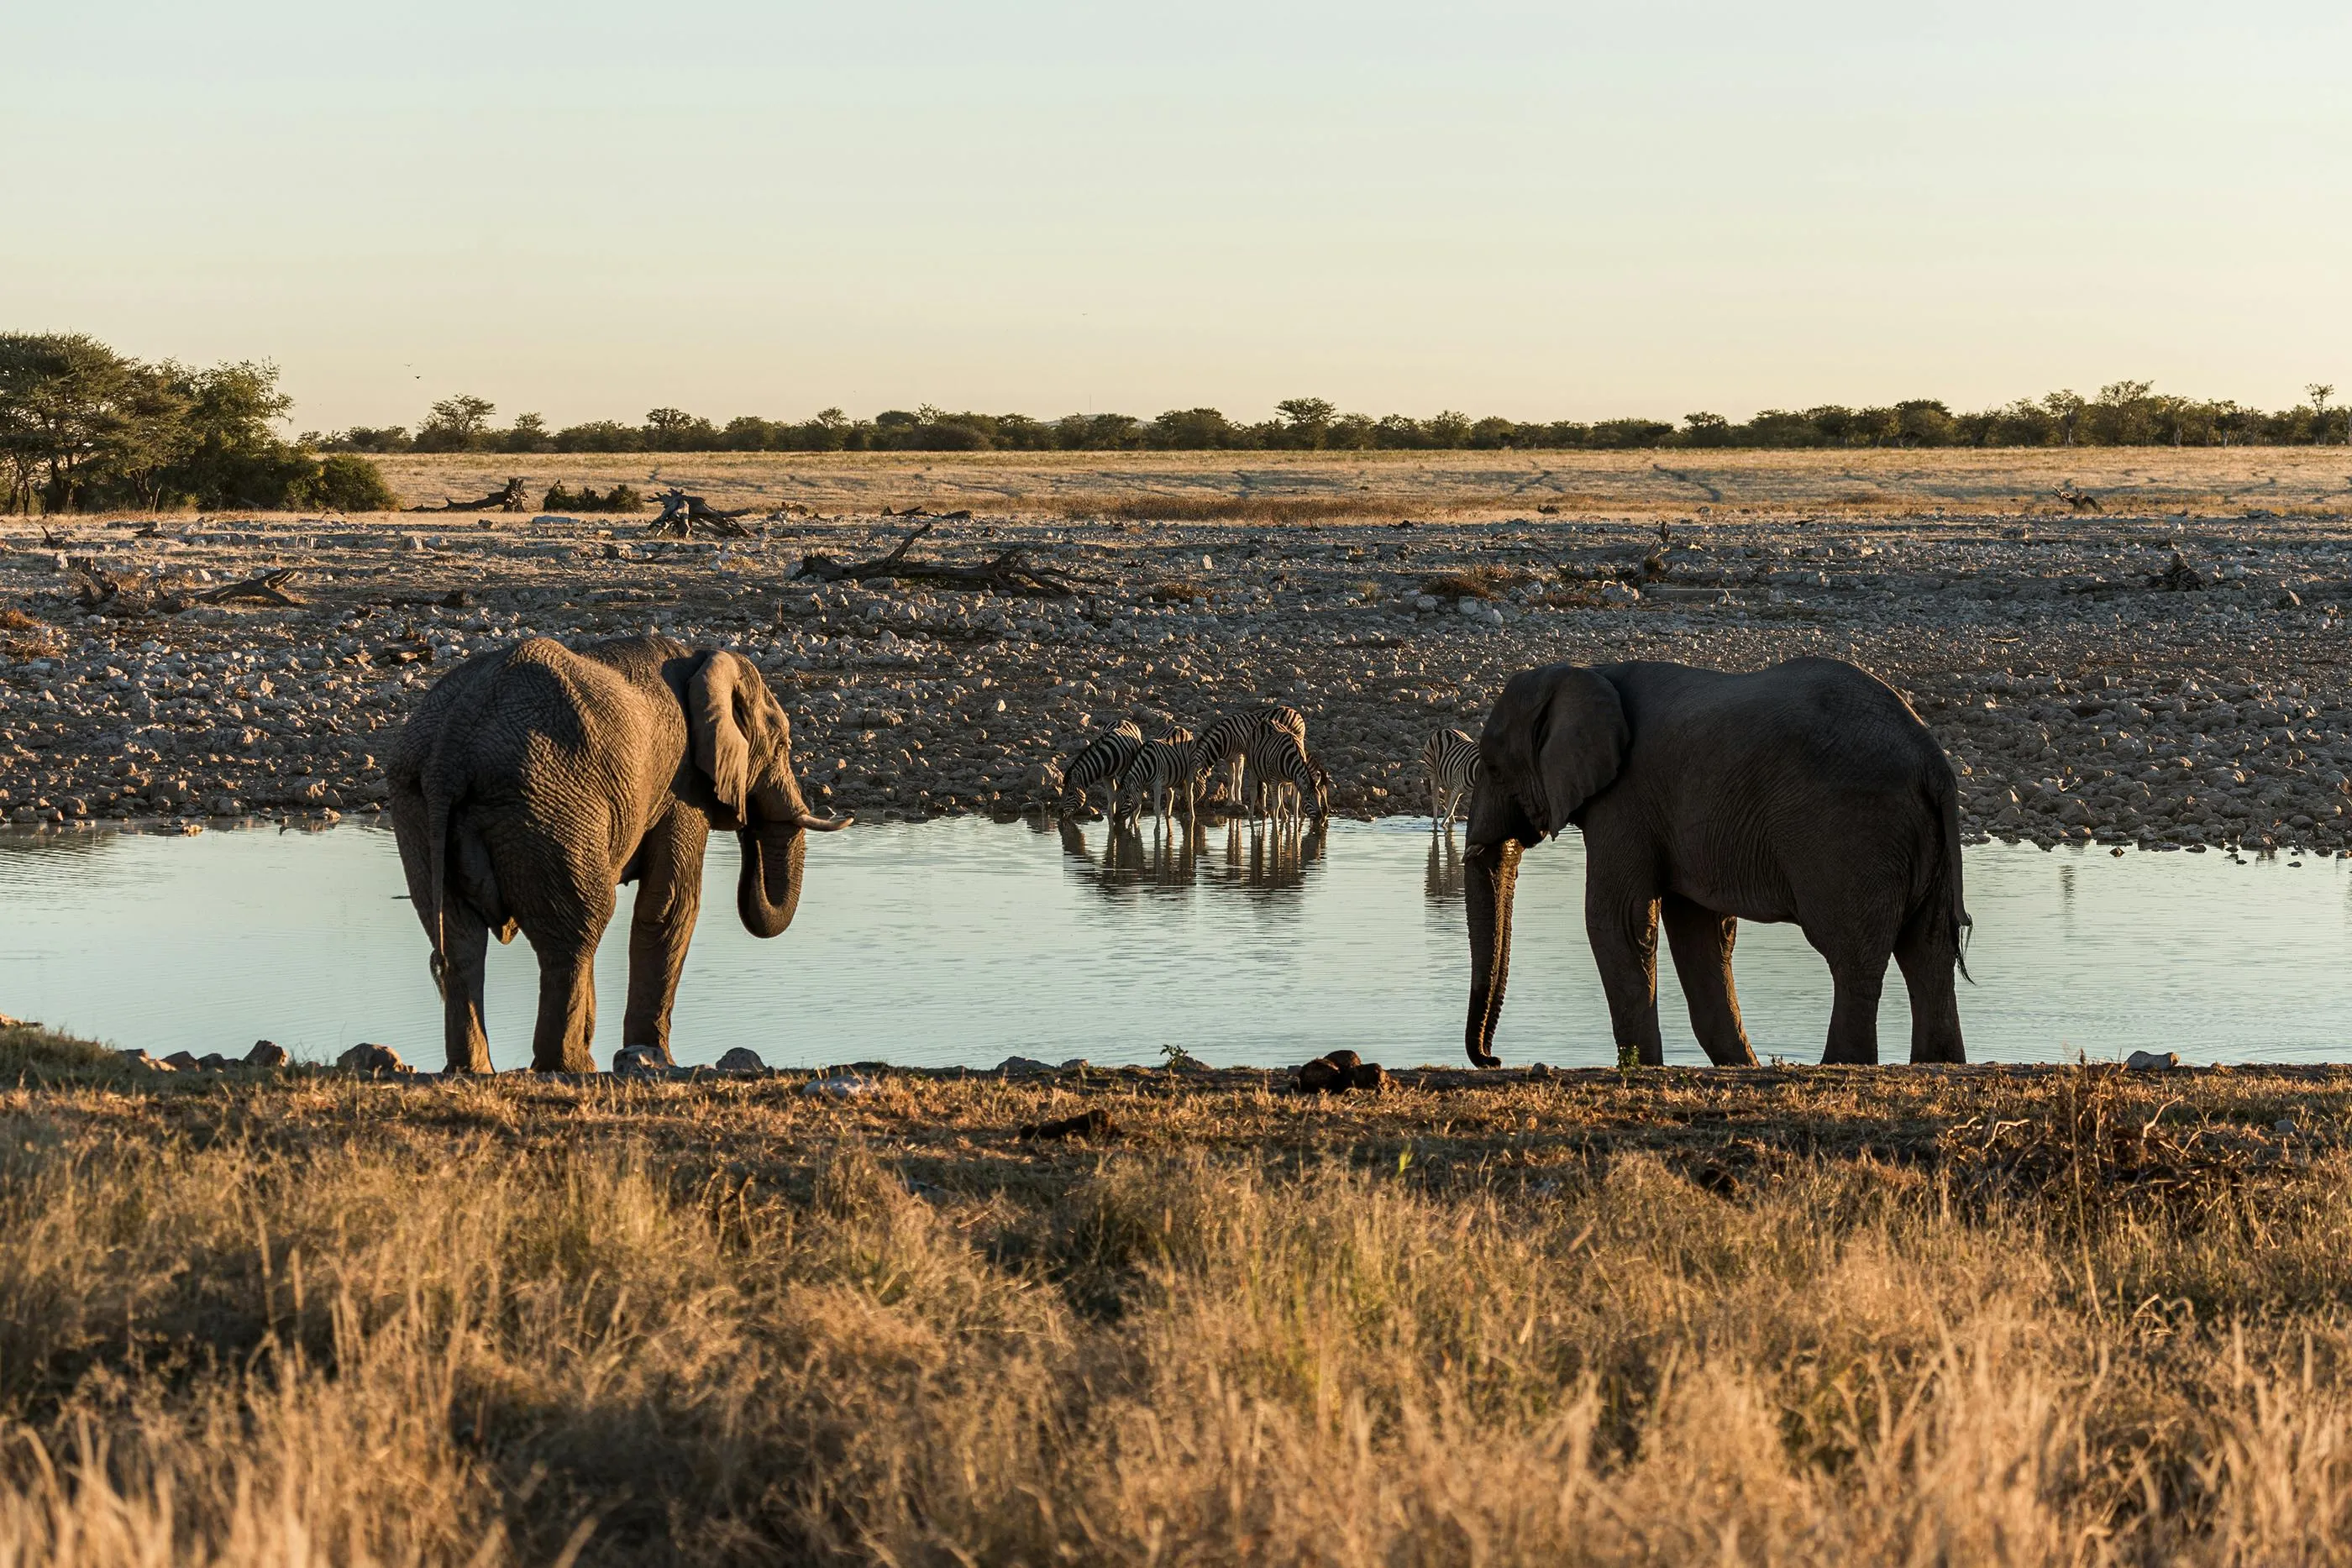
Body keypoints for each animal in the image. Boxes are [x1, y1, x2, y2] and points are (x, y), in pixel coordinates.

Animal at [389, 635, 849, 1073]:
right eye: (783, 743)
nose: (745, 817)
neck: (701, 657)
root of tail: (452, 749)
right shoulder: (680, 787)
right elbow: (670, 905)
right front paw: (660, 1058)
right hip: (548, 803)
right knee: (578, 929)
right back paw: (569, 1066)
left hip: (416, 807)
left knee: (460, 940)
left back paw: (478, 1069)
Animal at [1192, 703, 1308, 811]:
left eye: (1192, 788)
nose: (1188, 806)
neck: (1222, 740)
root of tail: (1295, 712)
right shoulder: (1228, 759)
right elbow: (1231, 780)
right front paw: (1230, 802)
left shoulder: (1239, 756)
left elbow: (1238, 781)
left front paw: (1238, 802)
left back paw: (1286, 797)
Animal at [1462, 657, 1968, 1068]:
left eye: (1492, 769)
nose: (1494, 1059)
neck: (1586, 672)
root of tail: (1933, 763)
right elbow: (1700, 931)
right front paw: (1741, 1065)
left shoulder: (1624, 799)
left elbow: (1617, 921)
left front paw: (1644, 1068)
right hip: (1919, 840)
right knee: (1929, 952)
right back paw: (1939, 1063)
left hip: (1852, 833)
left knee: (1853, 955)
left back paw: (1842, 1065)